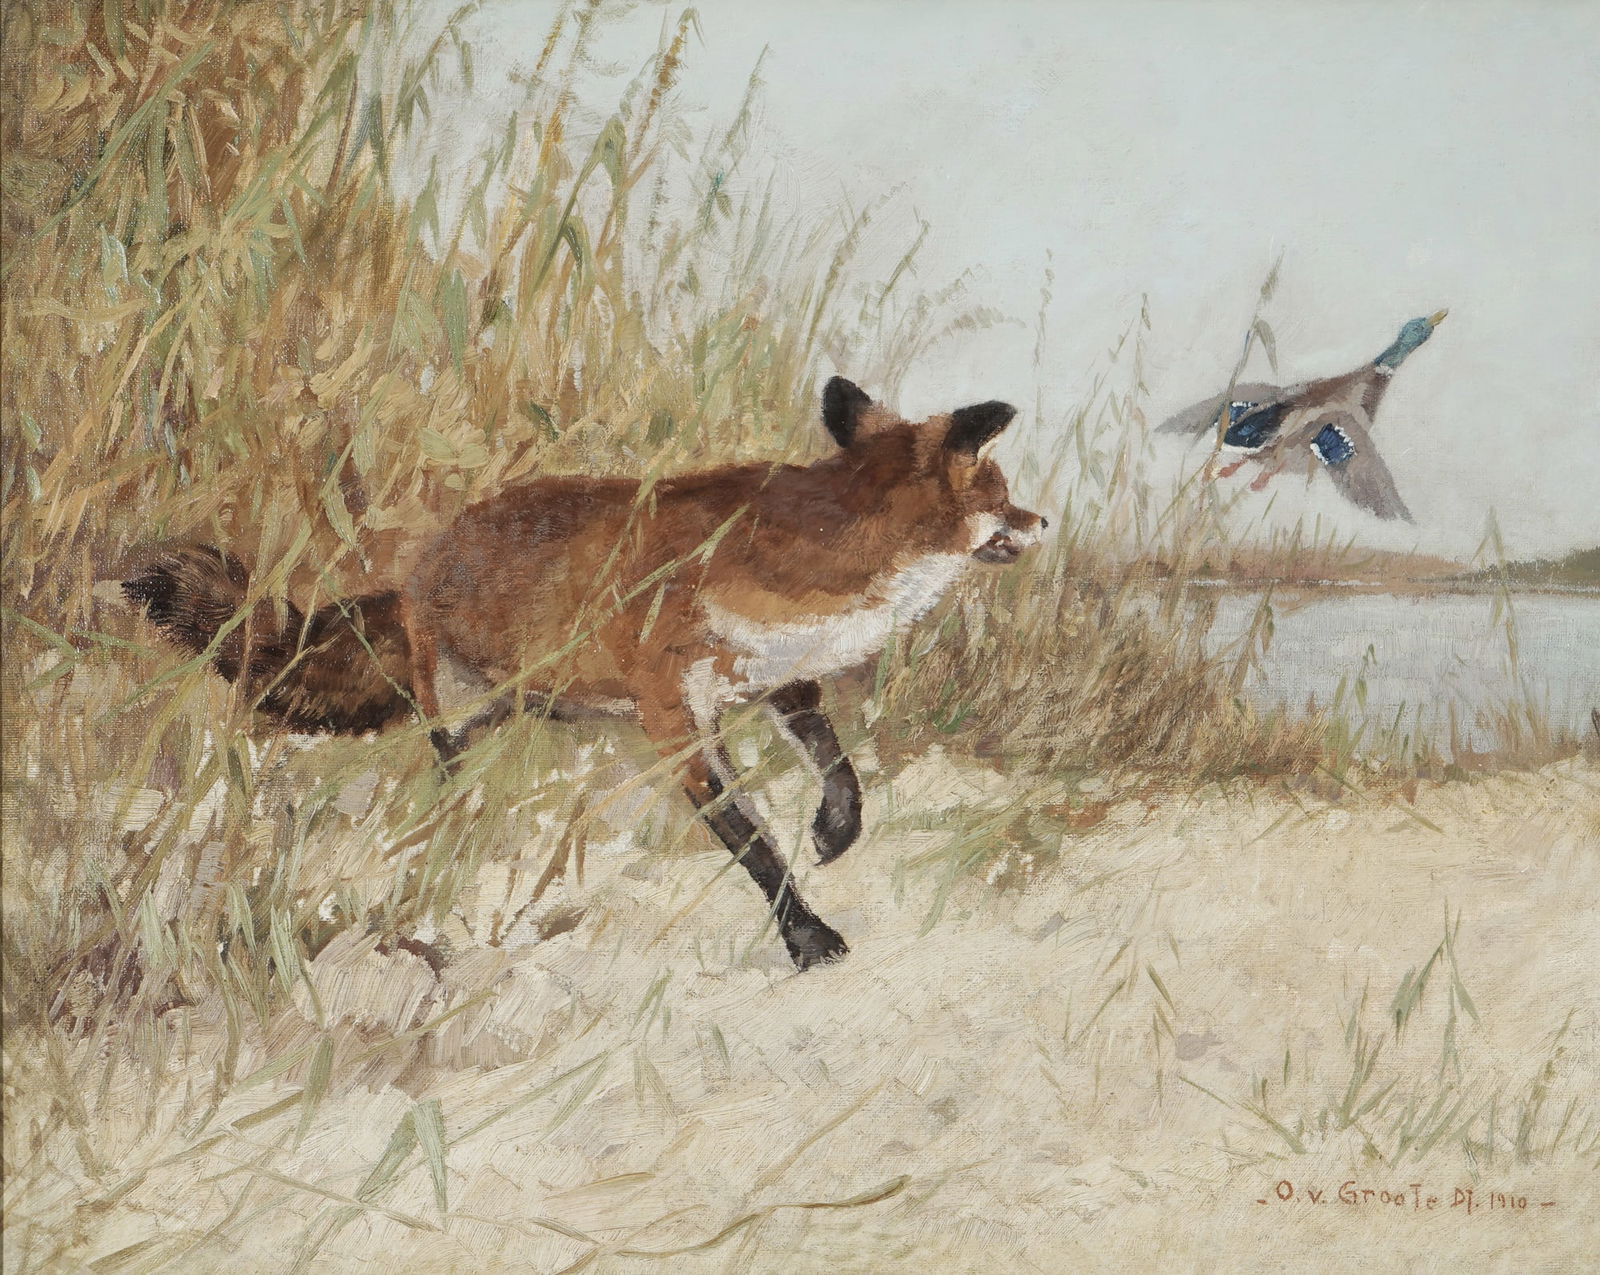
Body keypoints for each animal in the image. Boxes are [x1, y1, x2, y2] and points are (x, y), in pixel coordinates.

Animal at [123, 377, 1045, 969]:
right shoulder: (673, 716)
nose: (1043, 519)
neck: (801, 560)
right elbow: (751, 840)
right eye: (1002, 490)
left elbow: (840, 768)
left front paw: (834, 832)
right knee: (452, 779)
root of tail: (417, 569)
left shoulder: (778, 678)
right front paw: (808, 937)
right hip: (461, 718)